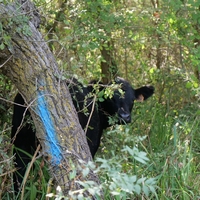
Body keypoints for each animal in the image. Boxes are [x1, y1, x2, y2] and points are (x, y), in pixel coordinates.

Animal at [11, 77, 155, 191]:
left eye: (132, 100)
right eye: (111, 98)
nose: (125, 116)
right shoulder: (91, 143)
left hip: (20, 140)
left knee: (20, 171)